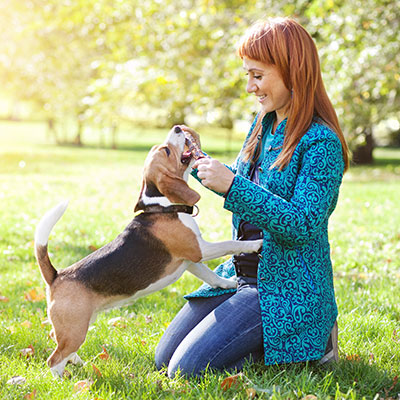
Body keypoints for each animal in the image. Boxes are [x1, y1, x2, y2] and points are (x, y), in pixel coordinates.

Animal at [35, 126, 262, 378]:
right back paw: (62, 379)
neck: (163, 206)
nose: (177, 127)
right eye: (166, 150)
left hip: (78, 324)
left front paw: (229, 284)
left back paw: (78, 362)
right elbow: (230, 244)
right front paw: (255, 244)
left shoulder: (191, 261)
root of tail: (56, 276)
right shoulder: (200, 250)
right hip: (75, 328)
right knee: (54, 359)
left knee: (56, 339)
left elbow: (212, 277)